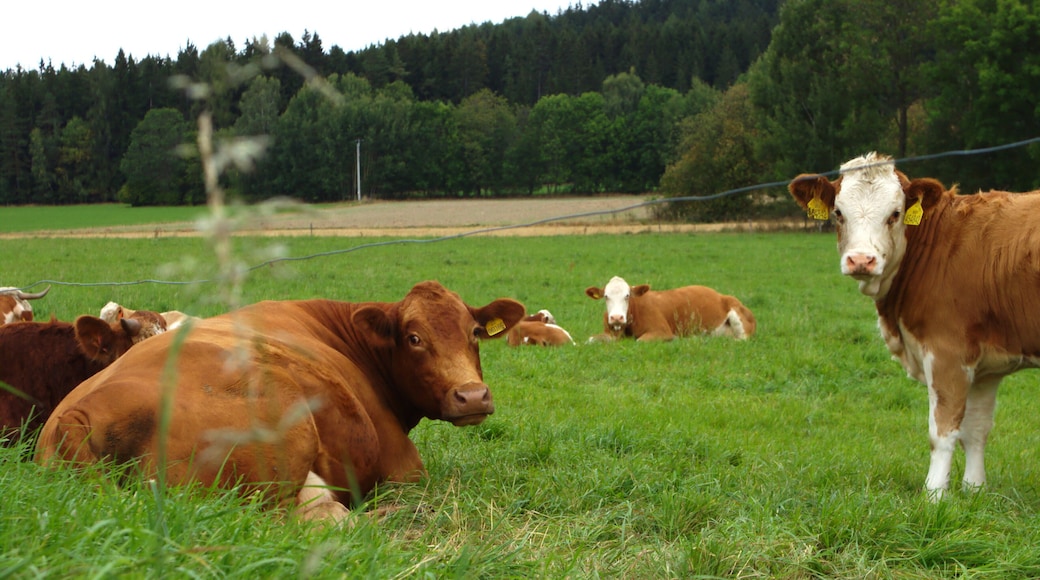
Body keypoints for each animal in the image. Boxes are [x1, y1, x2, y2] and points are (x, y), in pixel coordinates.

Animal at [585, 276, 756, 342]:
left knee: (741, 338)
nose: (616, 318)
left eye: (627, 295)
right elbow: (590, 339)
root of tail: (723, 296)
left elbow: (639, 340)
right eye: (606, 296)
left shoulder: (661, 331)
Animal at [788, 151, 1040, 499]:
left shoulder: (947, 352)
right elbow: (976, 430)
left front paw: (934, 495)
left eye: (894, 214)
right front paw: (974, 490)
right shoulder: (987, 365)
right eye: (838, 213)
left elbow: (943, 432)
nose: (861, 260)